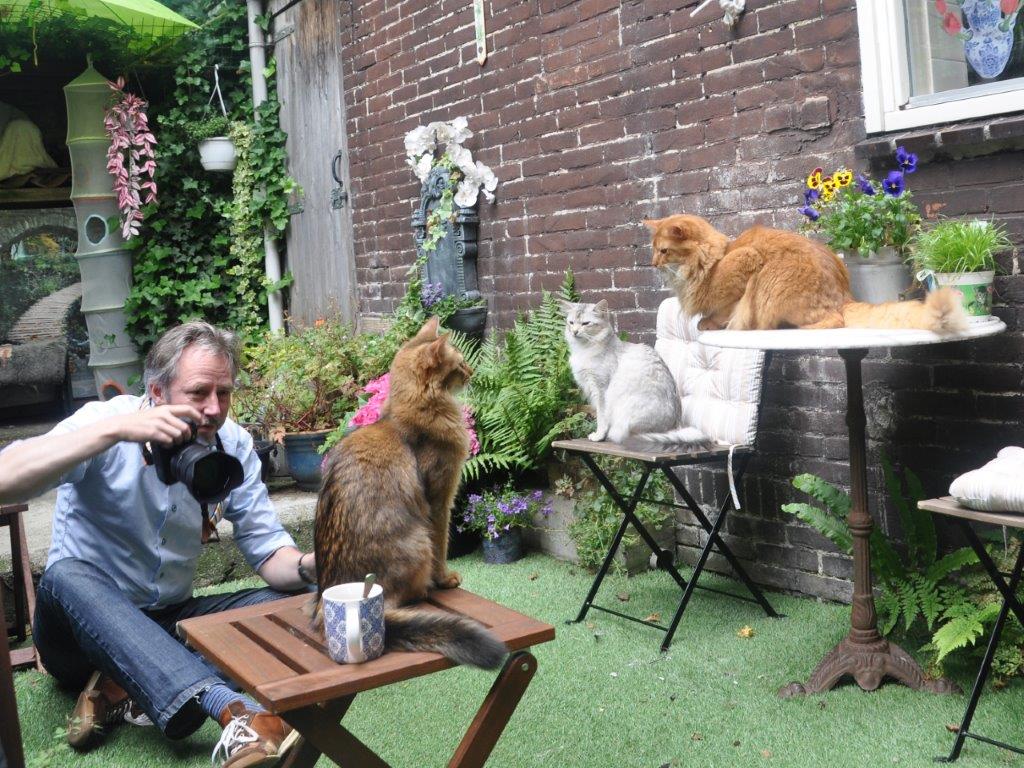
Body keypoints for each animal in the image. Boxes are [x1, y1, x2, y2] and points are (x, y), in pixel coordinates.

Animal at [313, 316, 506, 669]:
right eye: (459, 364)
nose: (472, 370)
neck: (410, 412)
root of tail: (324, 607)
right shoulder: (440, 499)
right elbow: (443, 543)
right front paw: (445, 578)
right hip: (418, 541)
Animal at [561, 299, 712, 447]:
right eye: (571, 323)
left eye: (585, 324)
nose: (574, 332)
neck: (584, 349)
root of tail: (674, 428)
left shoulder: (601, 390)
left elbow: (601, 418)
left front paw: (599, 436)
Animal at [645, 214, 967, 333]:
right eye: (653, 250)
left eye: (663, 251)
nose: (652, 264)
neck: (710, 262)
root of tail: (845, 296)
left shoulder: (747, 264)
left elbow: (726, 310)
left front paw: (710, 323)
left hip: (773, 282)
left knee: (835, 320)